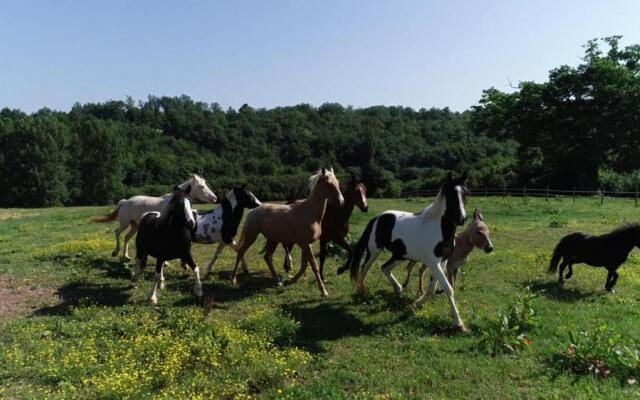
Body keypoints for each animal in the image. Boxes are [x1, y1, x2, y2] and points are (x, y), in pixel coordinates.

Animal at [344, 172, 470, 332]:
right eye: (450, 194)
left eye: (466, 193)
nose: (462, 219)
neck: (440, 229)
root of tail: (377, 218)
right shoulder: (433, 262)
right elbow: (447, 288)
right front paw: (459, 324)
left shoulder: (442, 261)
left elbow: (432, 287)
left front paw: (416, 304)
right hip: (374, 251)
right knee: (364, 268)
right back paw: (362, 292)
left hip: (400, 255)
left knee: (385, 268)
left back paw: (398, 291)